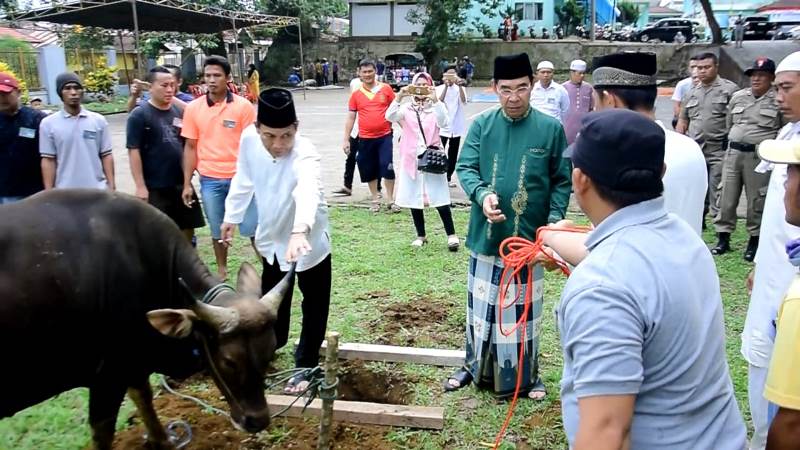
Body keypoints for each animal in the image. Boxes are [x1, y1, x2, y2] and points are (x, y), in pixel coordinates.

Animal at [0, 190, 294, 450]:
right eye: (229, 361)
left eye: (269, 351)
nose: (257, 421)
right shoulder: (108, 377)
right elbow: (103, 433)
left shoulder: (133, 361)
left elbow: (144, 396)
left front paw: (162, 440)